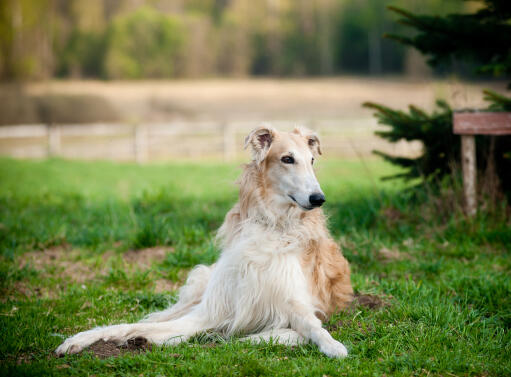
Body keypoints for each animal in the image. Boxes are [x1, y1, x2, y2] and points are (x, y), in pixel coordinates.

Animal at [55, 125, 352, 356]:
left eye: (312, 160)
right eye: (288, 159)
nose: (318, 198)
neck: (272, 226)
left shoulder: (300, 305)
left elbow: (312, 328)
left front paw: (333, 346)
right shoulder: (212, 310)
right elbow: (138, 326)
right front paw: (89, 338)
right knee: (153, 318)